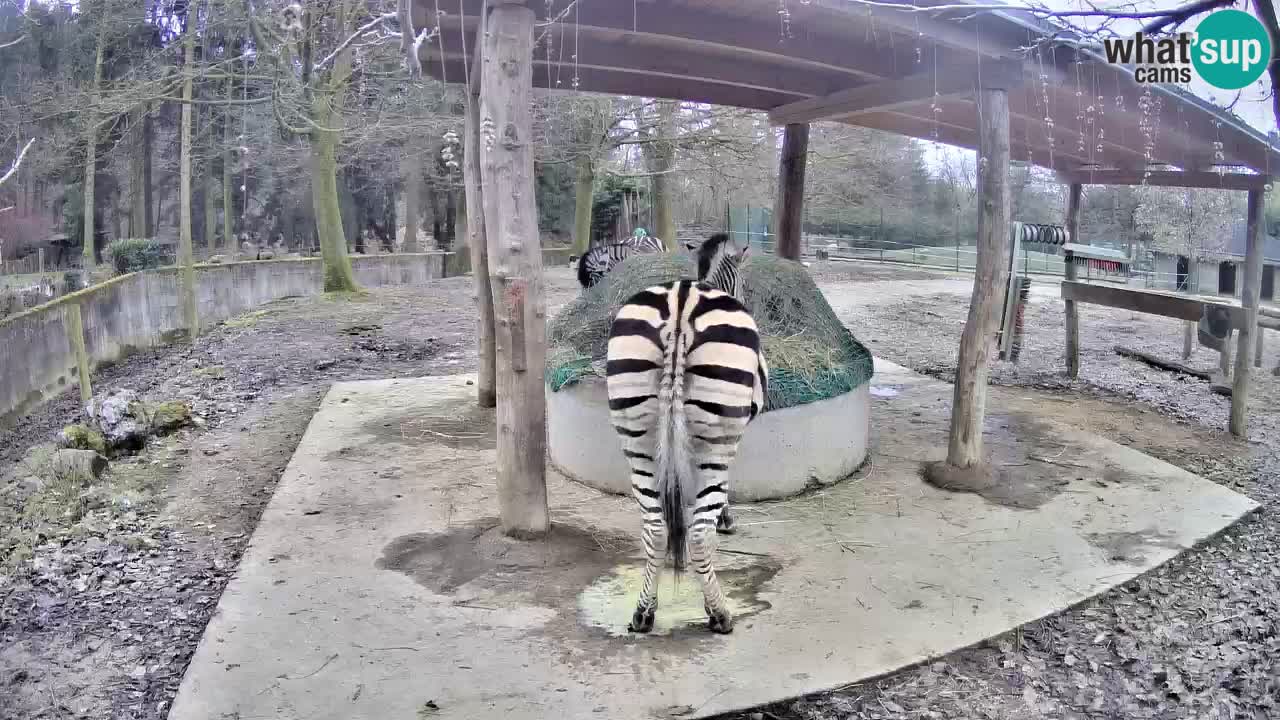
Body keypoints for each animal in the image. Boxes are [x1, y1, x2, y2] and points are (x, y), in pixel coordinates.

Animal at [604, 233, 762, 630]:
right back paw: (719, 613)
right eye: (744, 284)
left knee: (655, 525)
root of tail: (680, 307)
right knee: (701, 534)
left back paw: (644, 612)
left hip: (638, 435)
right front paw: (726, 517)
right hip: (717, 436)